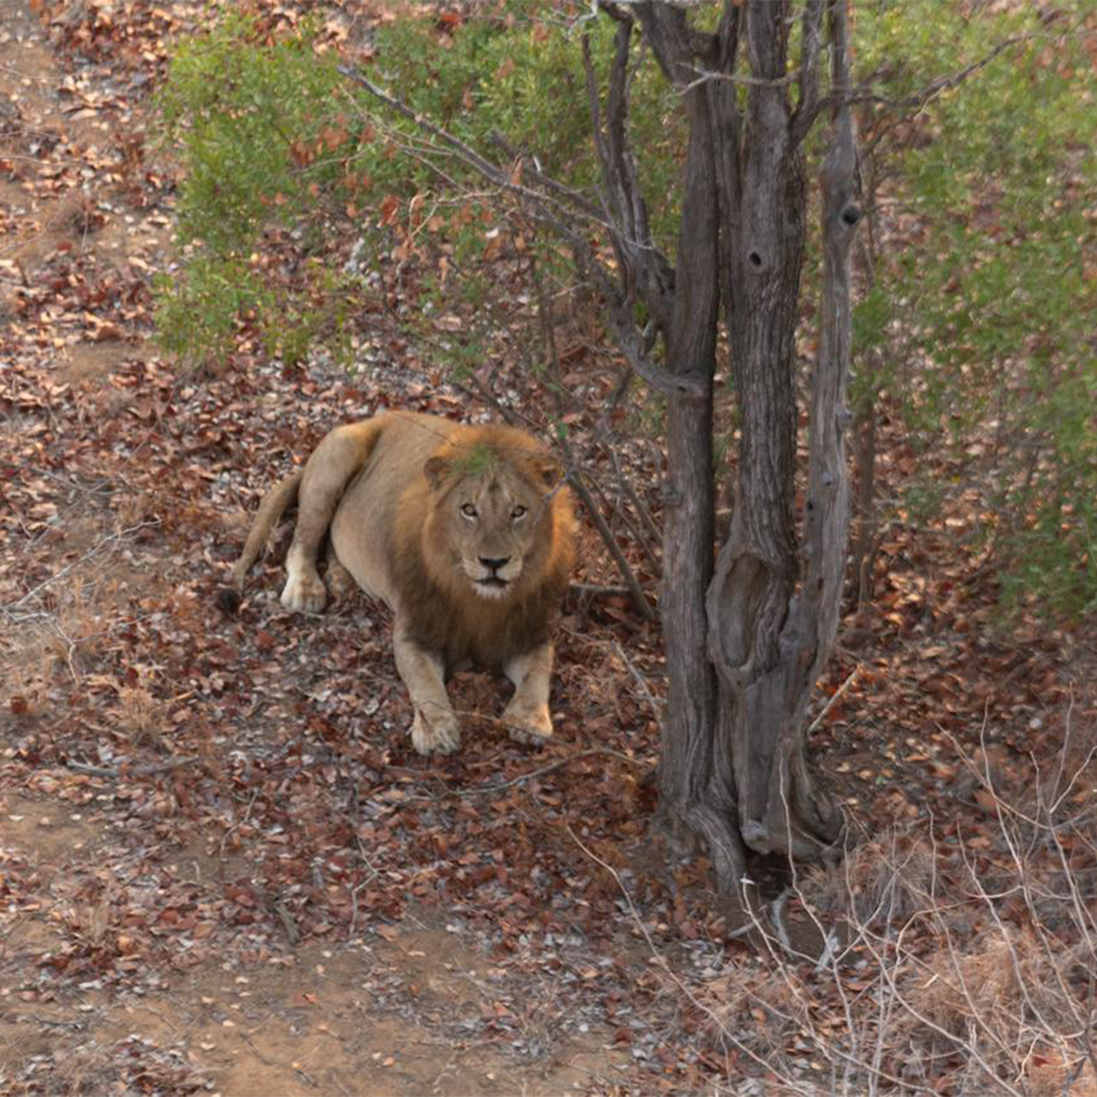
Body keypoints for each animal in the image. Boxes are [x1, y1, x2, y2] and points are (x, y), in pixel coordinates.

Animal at [225, 411, 575, 756]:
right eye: (468, 510)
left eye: (518, 512)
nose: (494, 563)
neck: (476, 598)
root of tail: (375, 416)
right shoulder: (415, 630)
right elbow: (425, 682)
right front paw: (436, 731)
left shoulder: (528, 629)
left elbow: (539, 670)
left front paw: (529, 720)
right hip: (338, 458)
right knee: (302, 540)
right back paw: (306, 589)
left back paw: (340, 579)